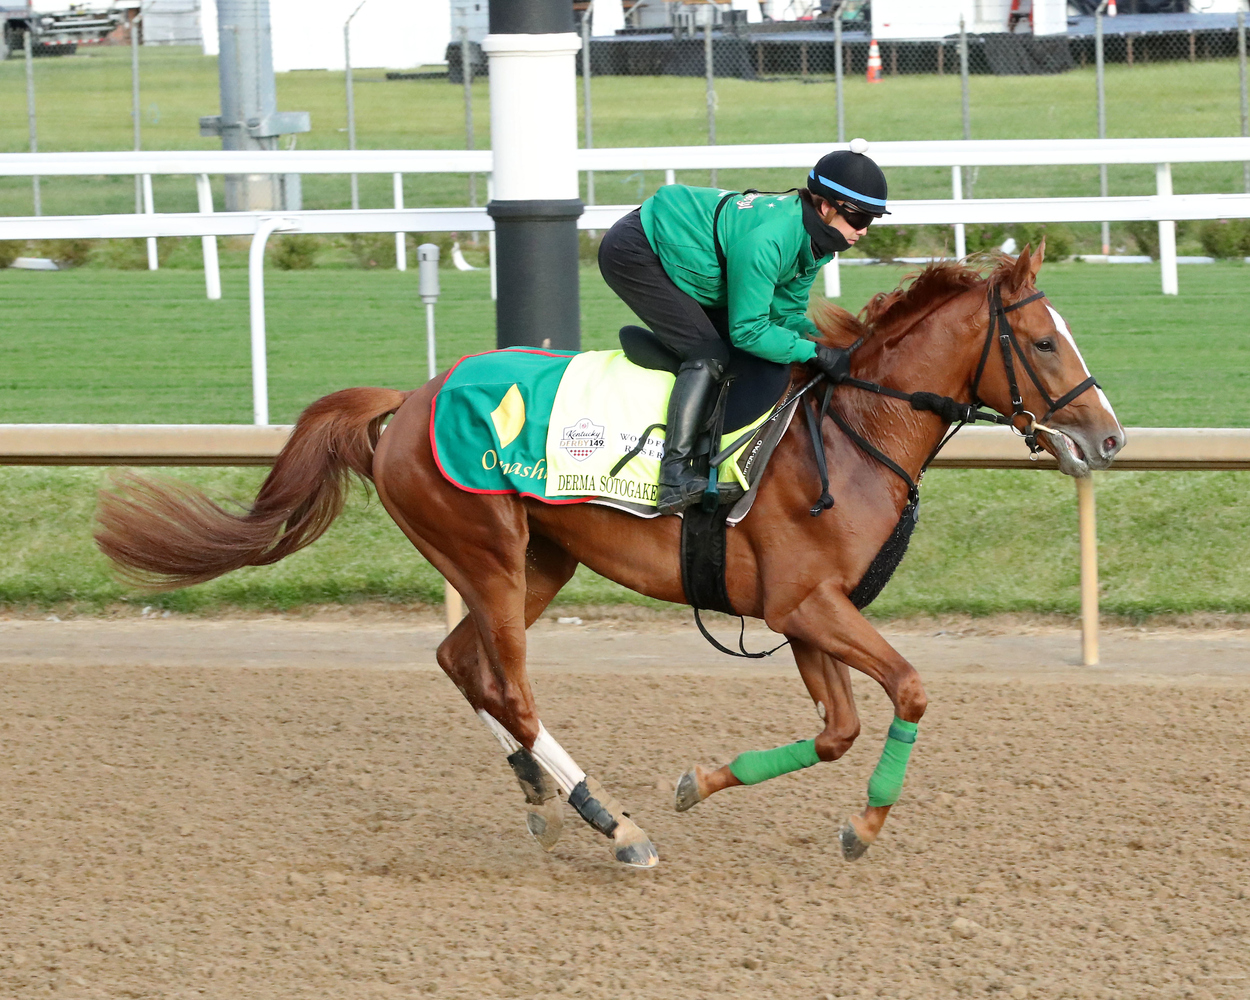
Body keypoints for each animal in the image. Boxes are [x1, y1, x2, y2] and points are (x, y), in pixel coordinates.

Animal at [95, 242, 1125, 865]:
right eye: (1043, 341)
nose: (1109, 439)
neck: (850, 426)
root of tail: (410, 397)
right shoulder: (805, 604)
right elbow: (908, 690)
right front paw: (863, 825)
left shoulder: (802, 614)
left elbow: (836, 730)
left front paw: (702, 784)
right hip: (488, 551)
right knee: (507, 684)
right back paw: (611, 822)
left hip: (538, 560)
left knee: (460, 660)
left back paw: (537, 793)